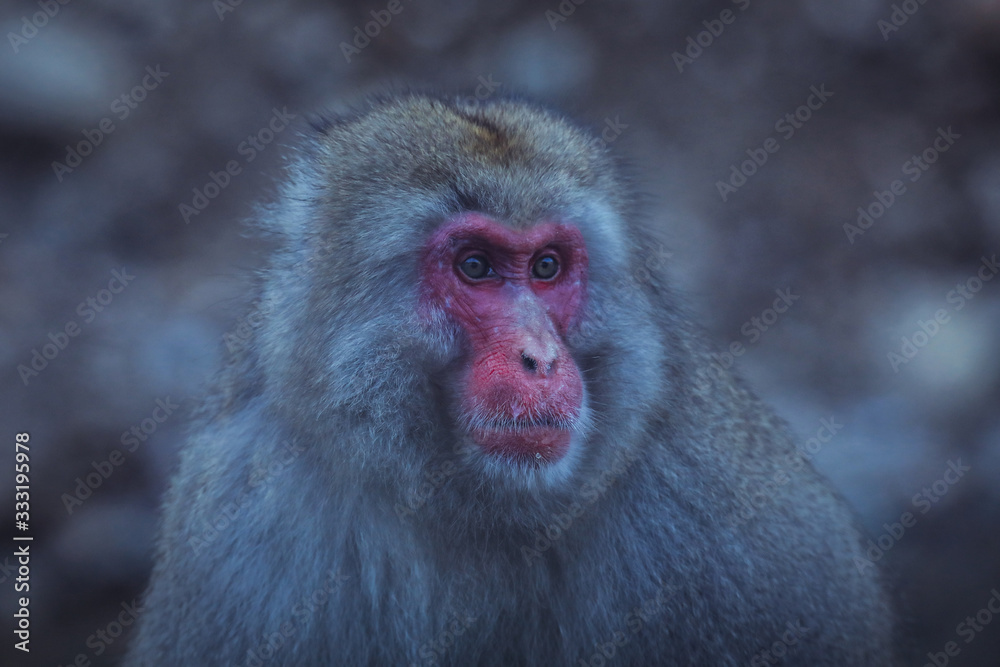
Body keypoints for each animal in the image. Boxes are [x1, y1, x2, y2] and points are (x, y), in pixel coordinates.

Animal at [125, 93, 897, 666]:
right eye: (476, 266)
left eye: (548, 265)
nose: (542, 359)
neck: (474, 511)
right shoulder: (240, 510)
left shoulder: (726, 508)